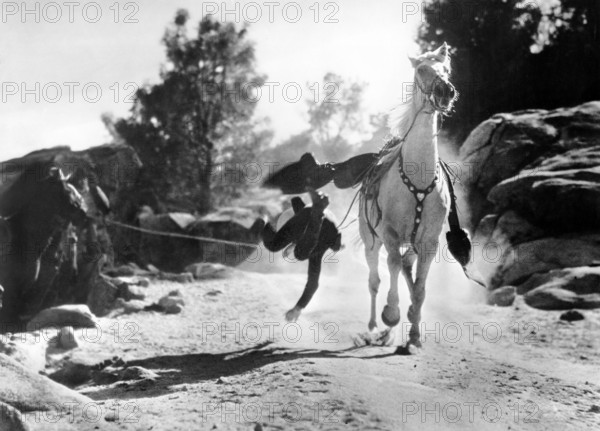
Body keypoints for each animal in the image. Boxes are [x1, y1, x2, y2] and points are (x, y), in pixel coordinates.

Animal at [358, 43, 458, 354]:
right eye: (421, 69)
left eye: (446, 69)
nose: (445, 90)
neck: (419, 179)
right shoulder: (389, 233)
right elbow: (390, 268)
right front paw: (391, 314)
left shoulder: (428, 241)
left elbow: (420, 286)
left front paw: (414, 333)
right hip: (370, 240)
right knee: (375, 280)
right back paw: (373, 329)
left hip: (410, 243)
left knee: (405, 266)